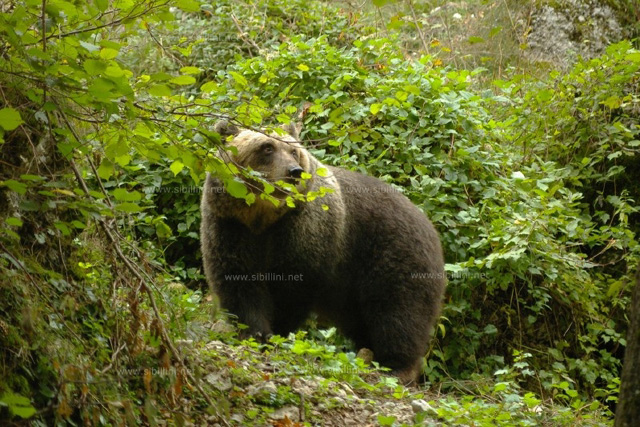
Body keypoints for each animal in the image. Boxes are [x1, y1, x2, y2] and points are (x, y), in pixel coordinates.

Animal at [200, 121, 444, 384]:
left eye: (293, 151)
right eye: (267, 147)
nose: (294, 171)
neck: (262, 217)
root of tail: (429, 224)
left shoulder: (306, 229)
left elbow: (292, 288)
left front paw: (277, 329)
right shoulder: (230, 226)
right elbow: (238, 281)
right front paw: (257, 333)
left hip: (394, 252)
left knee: (399, 312)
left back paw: (397, 367)